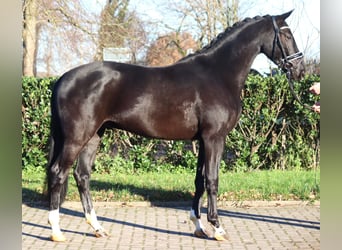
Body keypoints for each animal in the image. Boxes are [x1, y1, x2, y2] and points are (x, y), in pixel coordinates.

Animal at [46, 10, 304, 241]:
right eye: (287, 34)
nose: (299, 70)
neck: (218, 74)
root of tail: (63, 79)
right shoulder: (214, 138)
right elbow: (212, 180)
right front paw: (218, 228)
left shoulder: (202, 141)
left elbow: (199, 181)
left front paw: (198, 226)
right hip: (76, 138)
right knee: (59, 173)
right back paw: (57, 231)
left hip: (94, 136)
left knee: (82, 175)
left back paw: (97, 228)